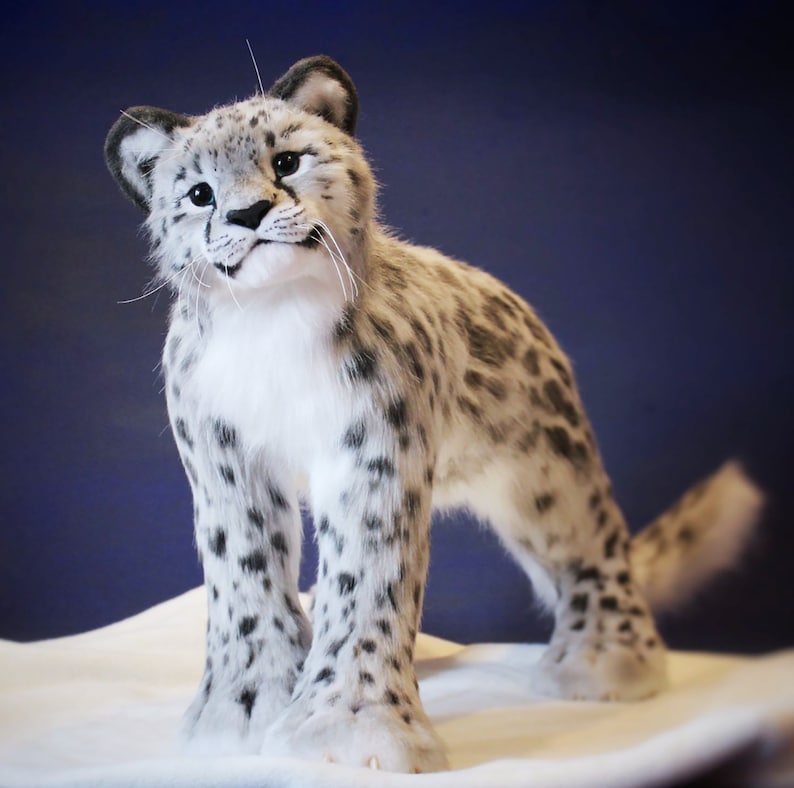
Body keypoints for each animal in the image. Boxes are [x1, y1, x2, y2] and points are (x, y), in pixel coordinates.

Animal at [104, 55, 763, 773]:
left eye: (287, 161)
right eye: (198, 193)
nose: (248, 211)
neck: (273, 321)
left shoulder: (372, 451)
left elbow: (364, 580)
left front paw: (349, 727)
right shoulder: (224, 458)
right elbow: (243, 574)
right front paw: (245, 708)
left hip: (546, 475)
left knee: (592, 547)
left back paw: (606, 663)